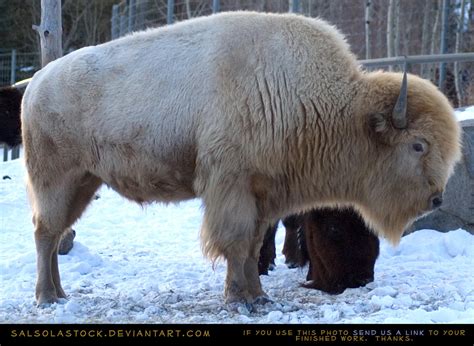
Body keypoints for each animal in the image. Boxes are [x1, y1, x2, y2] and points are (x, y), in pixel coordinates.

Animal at [21, 12, 460, 306]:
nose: (436, 198)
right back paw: (47, 297)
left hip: (84, 182)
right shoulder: (231, 187)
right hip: (56, 179)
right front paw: (238, 299)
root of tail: (36, 84)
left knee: (56, 233)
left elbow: (251, 246)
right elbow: (234, 242)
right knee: (45, 233)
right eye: (418, 145)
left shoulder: (264, 195)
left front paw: (259, 296)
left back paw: (59, 293)